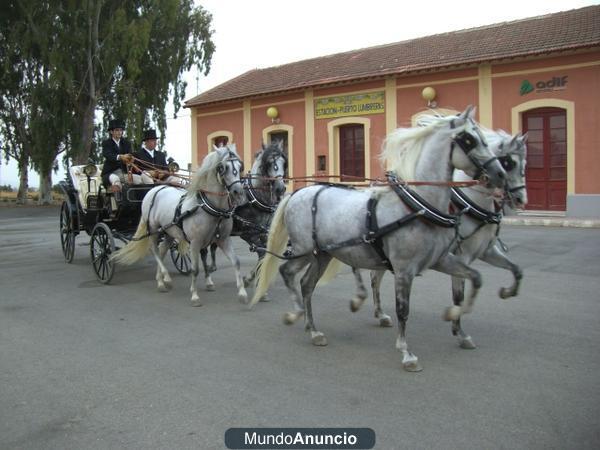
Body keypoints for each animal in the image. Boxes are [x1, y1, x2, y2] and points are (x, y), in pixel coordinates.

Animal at [111, 144, 247, 306]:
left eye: (239, 166)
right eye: (222, 168)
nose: (238, 191)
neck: (209, 207)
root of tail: (154, 189)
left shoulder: (223, 240)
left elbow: (236, 262)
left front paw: (242, 293)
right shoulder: (195, 243)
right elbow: (195, 269)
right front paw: (195, 296)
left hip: (169, 232)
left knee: (162, 250)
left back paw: (161, 281)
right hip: (154, 230)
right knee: (155, 251)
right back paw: (166, 279)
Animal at [248, 106, 506, 372]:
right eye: (469, 139)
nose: (500, 173)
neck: (418, 205)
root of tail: (297, 193)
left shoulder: (441, 260)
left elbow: (475, 277)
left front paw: (456, 319)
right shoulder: (404, 269)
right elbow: (403, 310)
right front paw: (407, 353)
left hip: (323, 254)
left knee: (306, 284)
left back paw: (313, 329)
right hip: (305, 250)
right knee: (288, 272)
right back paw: (296, 314)